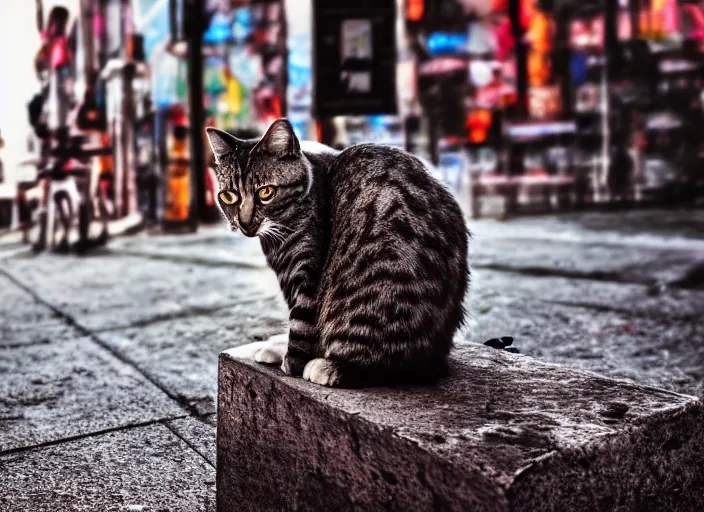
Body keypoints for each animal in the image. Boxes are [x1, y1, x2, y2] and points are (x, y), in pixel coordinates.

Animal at [205, 119, 468, 388]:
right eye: (229, 196)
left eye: (266, 192)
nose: (245, 223)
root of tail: (433, 360)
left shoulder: (305, 273)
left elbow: (301, 323)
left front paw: (290, 364)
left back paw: (329, 367)